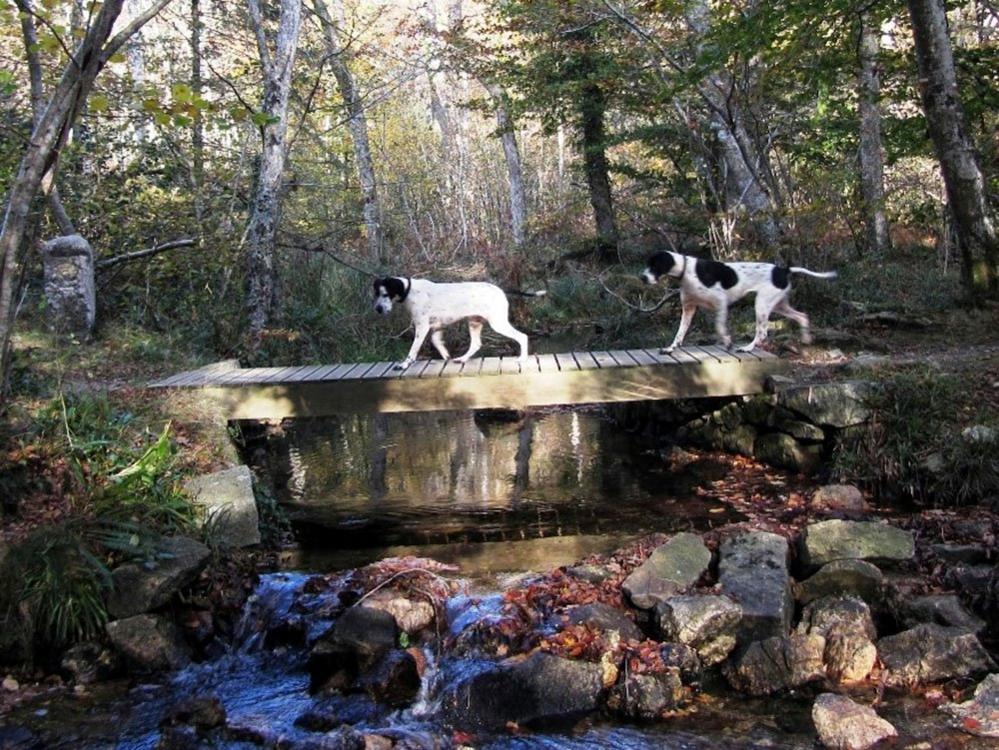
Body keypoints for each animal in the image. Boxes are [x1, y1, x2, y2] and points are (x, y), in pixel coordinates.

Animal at [374, 278, 548, 372]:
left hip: (497, 323)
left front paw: (404, 364)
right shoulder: (436, 327)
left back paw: (522, 358)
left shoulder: (422, 327)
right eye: (376, 294)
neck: (410, 291)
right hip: (474, 322)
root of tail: (500, 290)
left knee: (522, 336)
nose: (378, 309)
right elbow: (437, 343)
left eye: (385, 294)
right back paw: (462, 358)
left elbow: (413, 350)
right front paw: (446, 357)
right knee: (476, 344)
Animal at [640, 254, 836, 354]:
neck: (686, 269)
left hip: (761, 305)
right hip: (779, 304)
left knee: (762, 332)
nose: (642, 277)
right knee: (802, 316)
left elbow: (719, 327)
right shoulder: (688, 308)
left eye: (655, 265)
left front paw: (727, 342)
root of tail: (782, 269)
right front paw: (670, 348)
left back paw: (748, 347)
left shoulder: (720, 303)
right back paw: (806, 339)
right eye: (647, 264)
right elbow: (680, 333)